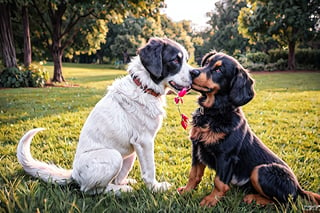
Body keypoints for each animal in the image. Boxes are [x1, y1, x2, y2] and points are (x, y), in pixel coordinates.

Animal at [16, 37, 192, 195]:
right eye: (175, 60)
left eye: (186, 60)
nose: (196, 72)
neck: (144, 86)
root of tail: (74, 174)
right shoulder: (145, 141)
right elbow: (150, 170)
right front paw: (156, 188)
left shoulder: (139, 145)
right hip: (114, 156)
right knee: (91, 190)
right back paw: (120, 191)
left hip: (129, 155)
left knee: (117, 178)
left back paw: (124, 184)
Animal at [178, 51, 320, 206]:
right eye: (206, 63)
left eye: (219, 70)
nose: (192, 72)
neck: (214, 113)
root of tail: (298, 188)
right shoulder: (197, 147)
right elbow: (194, 174)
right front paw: (186, 191)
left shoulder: (226, 155)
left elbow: (219, 182)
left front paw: (211, 200)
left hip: (260, 171)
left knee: (284, 202)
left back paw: (253, 198)